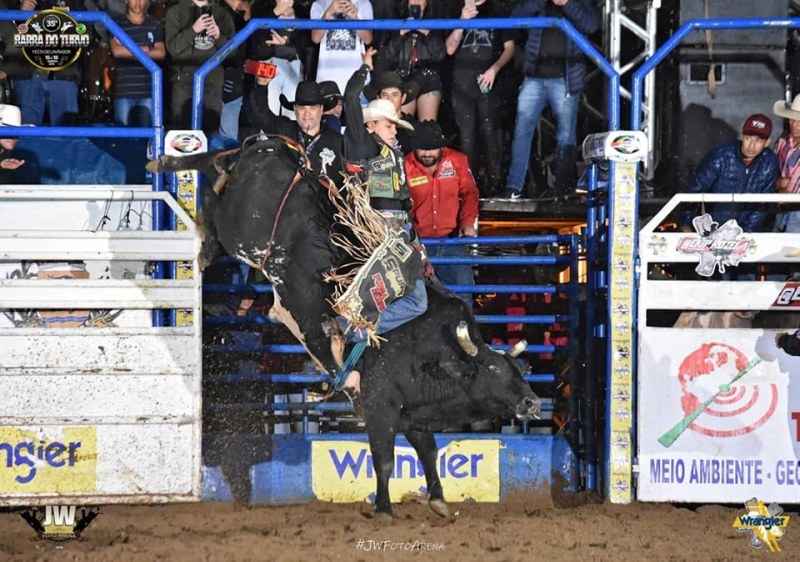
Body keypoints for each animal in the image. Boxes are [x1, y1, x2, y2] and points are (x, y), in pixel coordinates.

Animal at [150, 139, 540, 516]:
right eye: (492, 368)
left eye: (517, 369)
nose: (532, 402)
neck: (435, 352)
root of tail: (275, 151)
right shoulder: (379, 406)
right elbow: (384, 461)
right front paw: (383, 508)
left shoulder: (413, 415)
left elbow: (429, 452)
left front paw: (439, 500)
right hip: (242, 232)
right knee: (214, 201)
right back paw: (190, 211)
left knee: (216, 166)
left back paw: (169, 165)